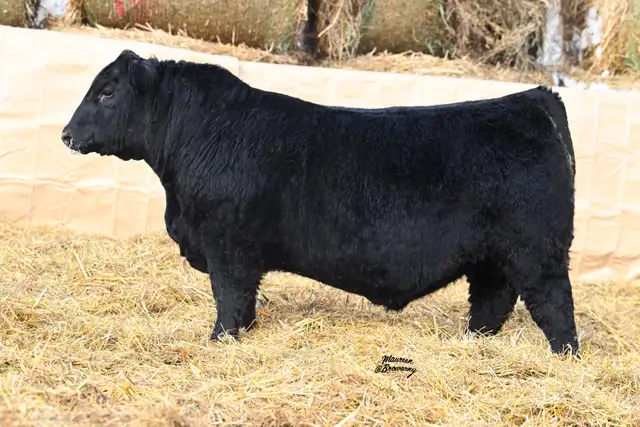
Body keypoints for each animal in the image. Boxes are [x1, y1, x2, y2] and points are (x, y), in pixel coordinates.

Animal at [61, 49, 579, 356]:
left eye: (107, 92)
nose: (66, 134)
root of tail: (534, 100)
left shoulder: (226, 244)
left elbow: (229, 297)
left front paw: (220, 342)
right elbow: (245, 301)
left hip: (538, 252)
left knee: (554, 305)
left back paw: (564, 356)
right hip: (493, 256)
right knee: (491, 301)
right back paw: (471, 343)